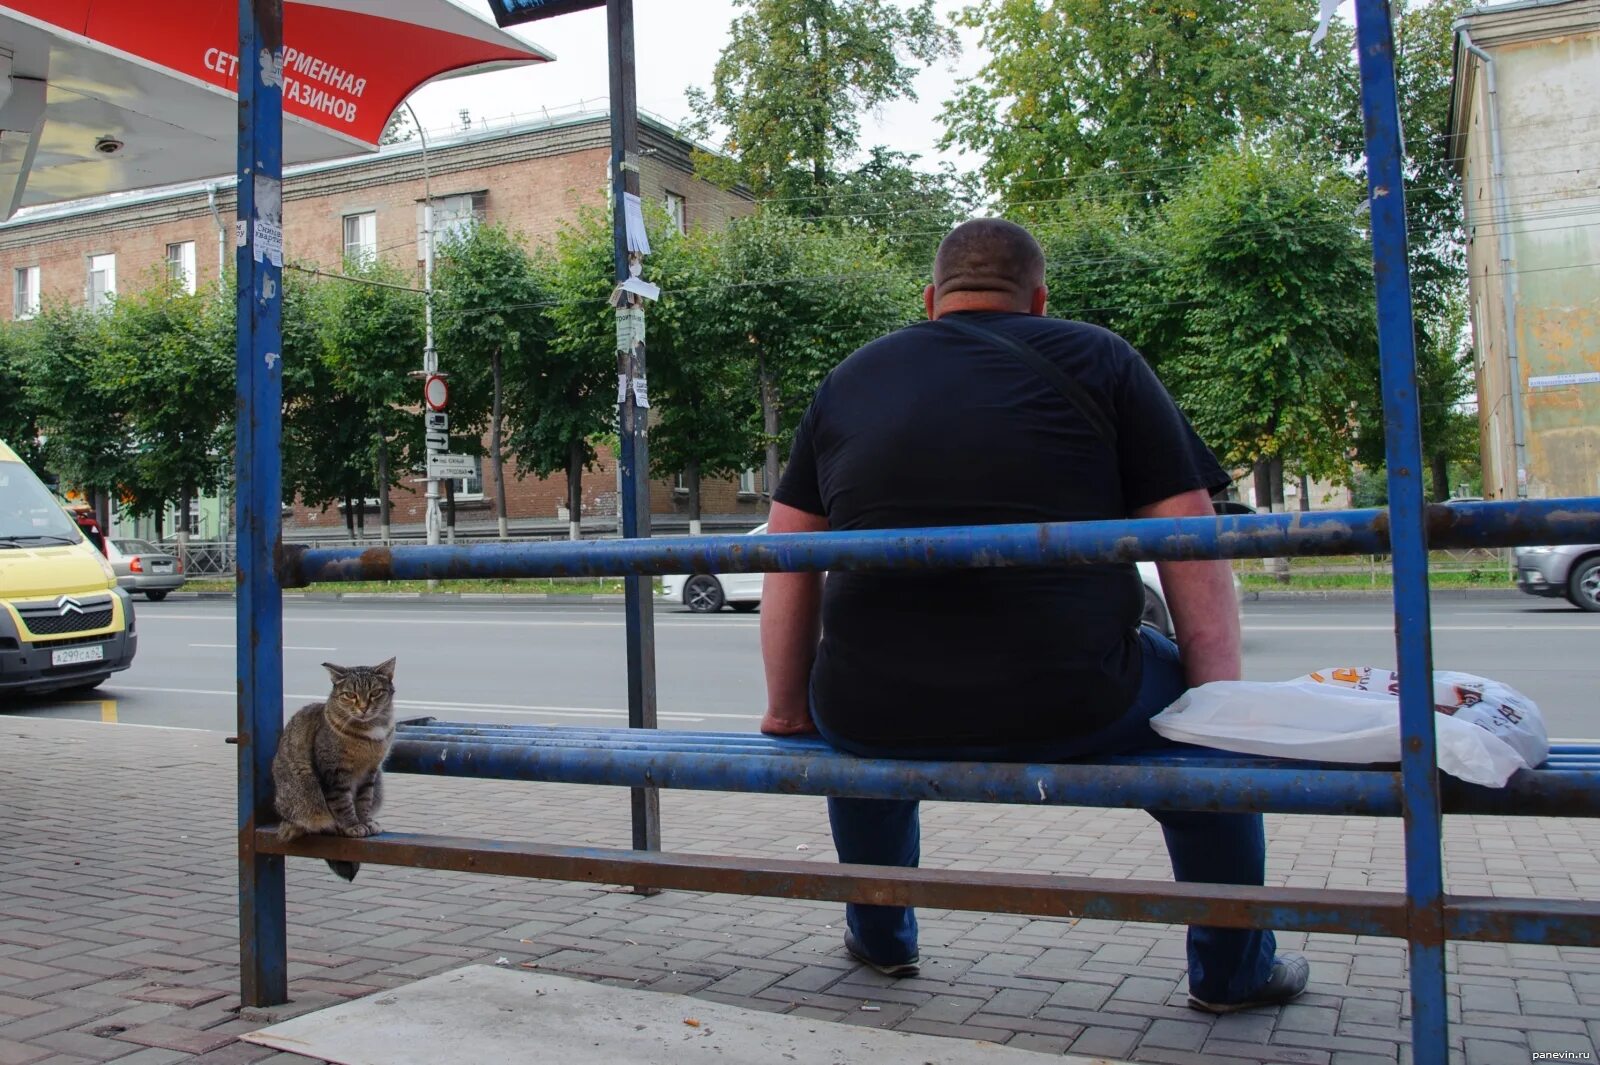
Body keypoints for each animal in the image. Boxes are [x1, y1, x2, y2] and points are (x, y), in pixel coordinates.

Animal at [272, 655, 396, 876]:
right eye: (350, 695)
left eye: (375, 693)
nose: (363, 707)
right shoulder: (335, 772)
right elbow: (342, 803)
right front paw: (352, 825)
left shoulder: (371, 772)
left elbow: (364, 800)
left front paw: (365, 821)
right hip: (306, 789)